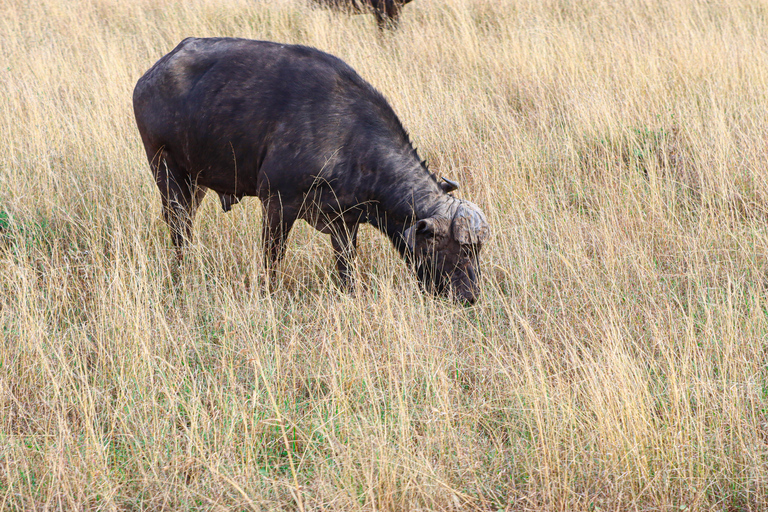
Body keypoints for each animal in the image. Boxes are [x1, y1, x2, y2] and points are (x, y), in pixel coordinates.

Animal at [133, 38, 488, 306]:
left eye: (477, 251)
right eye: (461, 250)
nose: (470, 297)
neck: (349, 138)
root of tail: (151, 75)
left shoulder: (344, 223)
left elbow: (347, 269)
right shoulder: (277, 204)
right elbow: (272, 260)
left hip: (196, 183)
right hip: (167, 174)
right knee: (179, 231)